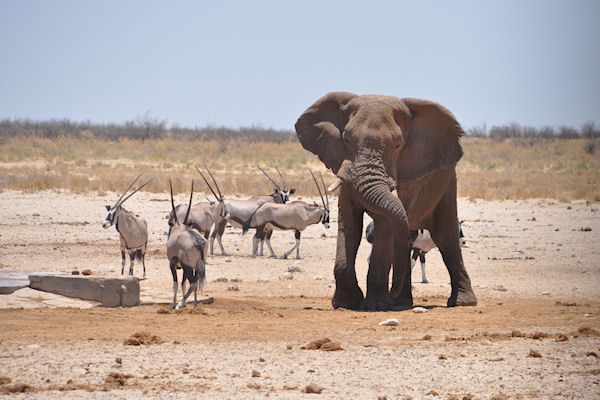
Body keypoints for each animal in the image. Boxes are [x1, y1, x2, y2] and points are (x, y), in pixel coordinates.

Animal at [296, 92, 478, 310]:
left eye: (397, 145)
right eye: (346, 139)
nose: (391, 296)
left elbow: (385, 225)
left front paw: (376, 305)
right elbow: (349, 224)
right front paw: (346, 303)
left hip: (447, 180)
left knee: (445, 235)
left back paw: (461, 302)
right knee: (407, 237)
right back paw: (402, 302)